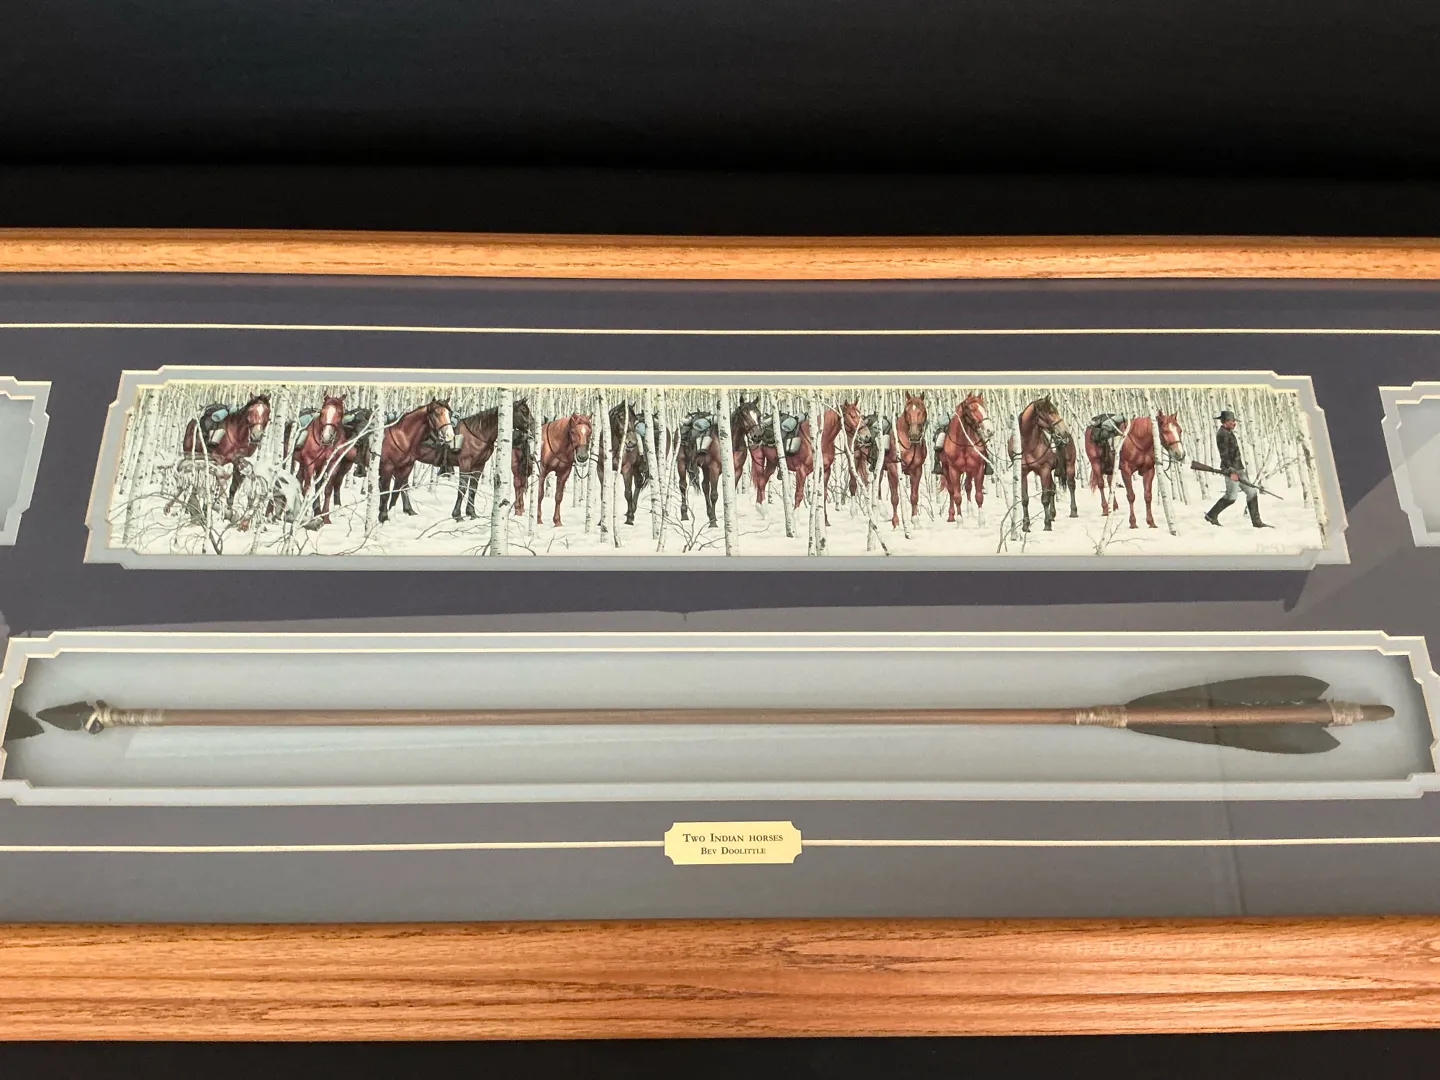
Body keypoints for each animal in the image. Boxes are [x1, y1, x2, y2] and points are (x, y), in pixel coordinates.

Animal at [175, 393, 272, 524]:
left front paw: (229, 512)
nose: (256, 436)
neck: (237, 436)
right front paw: (209, 509)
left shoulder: (239, 464)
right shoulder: (219, 460)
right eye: (250, 411)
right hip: (191, 455)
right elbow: (219, 484)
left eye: (267, 412)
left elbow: (233, 488)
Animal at [879, 394, 928, 528]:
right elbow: (895, 498)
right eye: (906, 411)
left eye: (922, 410)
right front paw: (895, 523)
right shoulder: (893, 469)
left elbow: (914, 496)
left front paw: (915, 521)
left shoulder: (917, 470)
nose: (914, 435)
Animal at [936, 392, 991, 523]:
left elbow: (979, 495)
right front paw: (959, 521)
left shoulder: (977, 468)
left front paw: (981, 522)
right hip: (946, 469)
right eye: (971, 409)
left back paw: (970, 513)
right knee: (951, 490)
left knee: (968, 486)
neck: (963, 444)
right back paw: (951, 516)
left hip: (969, 470)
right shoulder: (954, 471)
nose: (990, 430)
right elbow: (956, 496)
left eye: (984, 407)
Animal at [1006, 394, 1076, 532]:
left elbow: (1044, 498)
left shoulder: (1044, 470)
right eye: (1050, 412)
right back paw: (1053, 514)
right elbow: (1025, 499)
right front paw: (1025, 525)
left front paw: (1047, 524)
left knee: (1071, 486)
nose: (1065, 432)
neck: (1027, 444)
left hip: (1070, 466)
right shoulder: (1023, 472)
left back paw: (1073, 512)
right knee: (1053, 487)